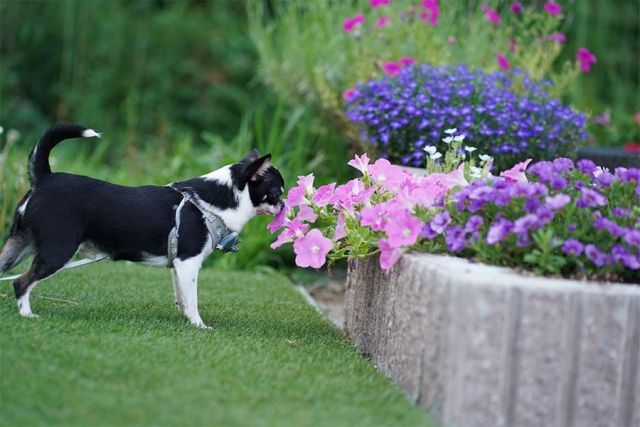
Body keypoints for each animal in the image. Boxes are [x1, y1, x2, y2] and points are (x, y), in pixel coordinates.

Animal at [0, 124, 285, 328]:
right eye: (277, 193)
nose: (284, 205)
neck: (217, 201)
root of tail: (45, 178)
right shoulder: (189, 262)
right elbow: (192, 299)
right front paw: (199, 326)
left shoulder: (179, 265)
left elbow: (182, 297)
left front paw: (185, 319)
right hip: (58, 251)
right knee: (21, 283)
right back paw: (27, 315)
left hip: (19, 245)